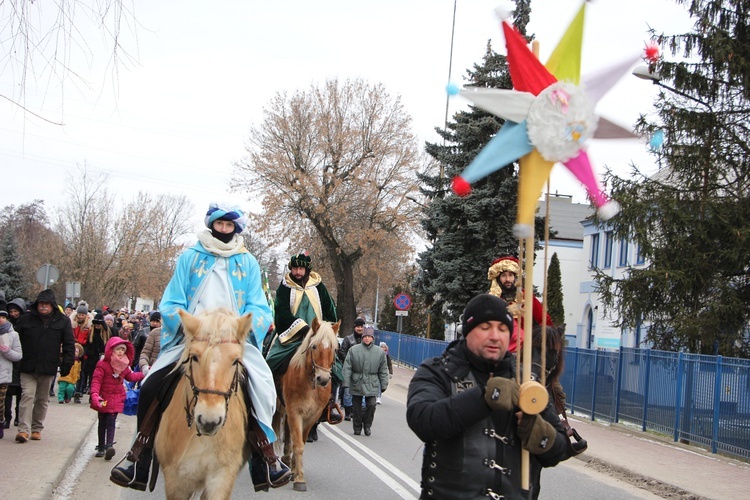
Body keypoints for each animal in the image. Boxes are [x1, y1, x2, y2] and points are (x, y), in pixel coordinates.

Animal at [274, 318, 342, 490]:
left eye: (334, 348)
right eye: (314, 346)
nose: (323, 379)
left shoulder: (312, 416)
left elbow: (301, 441)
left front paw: (296, 471)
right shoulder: (295, 411)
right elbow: (298, 444)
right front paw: (299, 479)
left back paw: (287, 461)